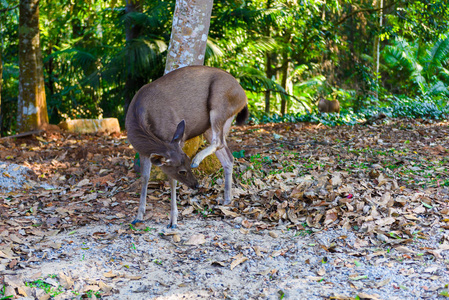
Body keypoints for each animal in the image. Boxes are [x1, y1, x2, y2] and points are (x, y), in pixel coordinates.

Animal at [124, 65, 247, 227]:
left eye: (187, 164)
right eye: (182, 171)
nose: (197, 185)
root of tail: (244, 96)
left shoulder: (175, 139)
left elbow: (171, 181)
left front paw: (173, 220)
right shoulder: (143, 151)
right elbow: (145, 177)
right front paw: (138, 216)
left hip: (219, 104)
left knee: (219, 142)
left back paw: (198, 160)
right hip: (212, 126)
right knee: (227, 156)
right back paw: (227, 199)